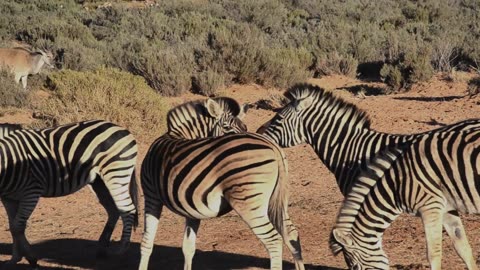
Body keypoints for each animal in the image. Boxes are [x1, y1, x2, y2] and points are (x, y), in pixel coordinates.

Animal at [0, 120, 139, 268]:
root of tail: (121, 128)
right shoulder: (8, 198)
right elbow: (12, 227)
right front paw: (15, 258)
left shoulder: (31, 193)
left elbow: (17, 227)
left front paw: (31, 258)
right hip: (99, 182)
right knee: (114, 210)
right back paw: (102, 249)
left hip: (117, 173)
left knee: (128, 209)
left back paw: (121, 250)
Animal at [139, 98, 304, 268]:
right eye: (226, 127)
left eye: (244, 127)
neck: (177, 135)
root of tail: (273, 146)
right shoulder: (191, 208)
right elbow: (188, 247)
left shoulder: (151, 195)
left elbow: (147, 242)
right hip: (277, 200)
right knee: (291, 234)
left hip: (249, 203)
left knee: (273, 240)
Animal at [330, 126, 480, 270]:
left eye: (355, 267)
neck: (396, 184)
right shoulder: (447, 209)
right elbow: (462, 247)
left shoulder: (430, 207)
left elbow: (433, 254)